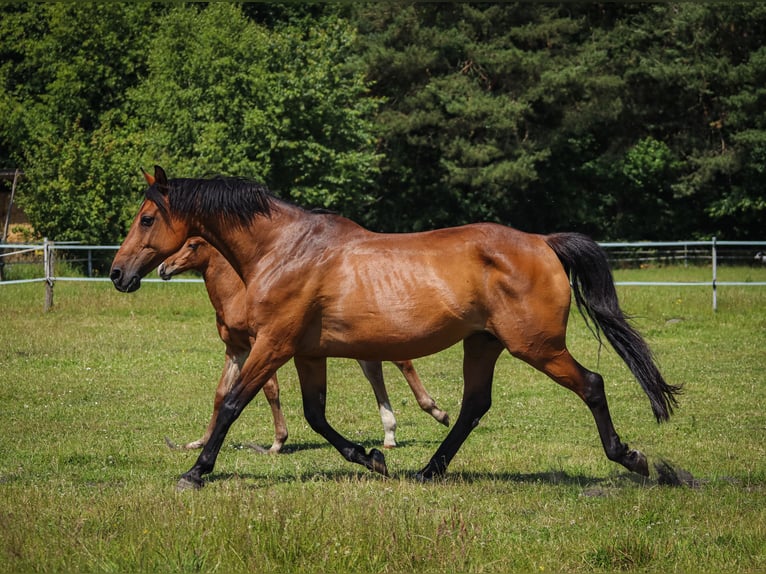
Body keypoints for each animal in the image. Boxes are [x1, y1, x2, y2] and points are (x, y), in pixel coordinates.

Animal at [157, 236, 449, 451]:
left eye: (192, 244)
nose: (163, 267)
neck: (237, 295)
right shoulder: (236, 350)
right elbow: (221, 393)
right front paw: (200, 441)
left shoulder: (262, 345)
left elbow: (269, 390)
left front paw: (278, 442)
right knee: (375, 373)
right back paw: (390, 434)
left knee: (401, 361)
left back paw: (434, 411)